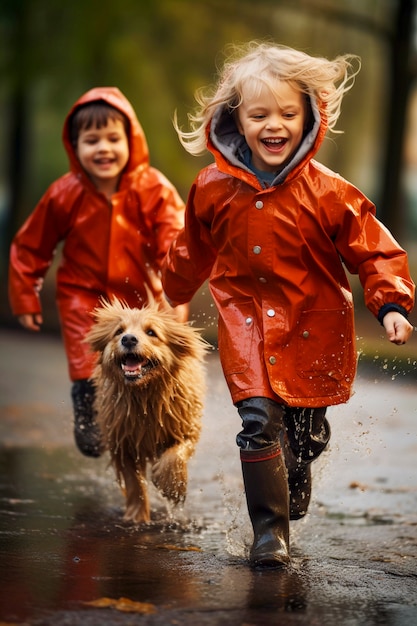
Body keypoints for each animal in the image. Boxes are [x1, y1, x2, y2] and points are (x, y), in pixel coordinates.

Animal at [86, 298, 206, 520]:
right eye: (119, 331)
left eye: (151, 332)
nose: (128, 339)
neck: (144, 396)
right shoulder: (122, 441)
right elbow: (134, 483)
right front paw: (138, 516)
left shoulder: (186, 425)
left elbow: (176, 454)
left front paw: (172, 487)